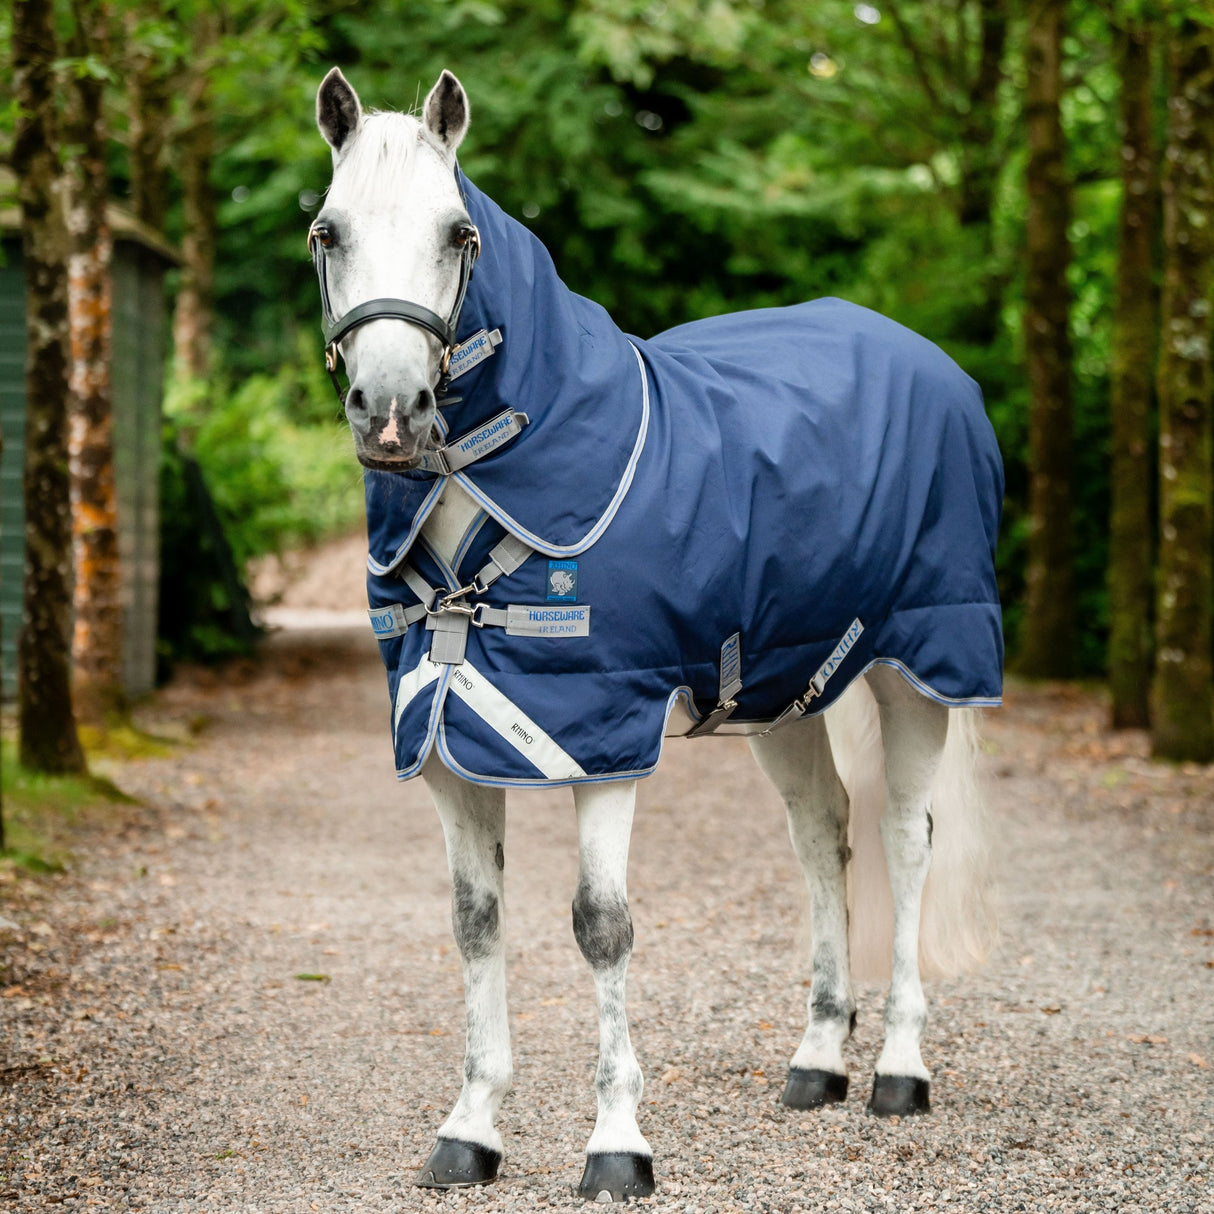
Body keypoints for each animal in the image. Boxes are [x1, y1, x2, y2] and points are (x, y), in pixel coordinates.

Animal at [308, 67, 1003, 1202]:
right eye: (328, 231)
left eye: (460, 234)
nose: (392, 412)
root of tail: (931, 363)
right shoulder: (447, 739)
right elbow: (475, 920)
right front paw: (471, 1128)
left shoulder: (600, 739)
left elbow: (601, 926)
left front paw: (616, 1143)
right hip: (783, 691)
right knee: (823, 833)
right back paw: (818, 1059)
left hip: (919, 667)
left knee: (906, 838)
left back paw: (900, 1067)